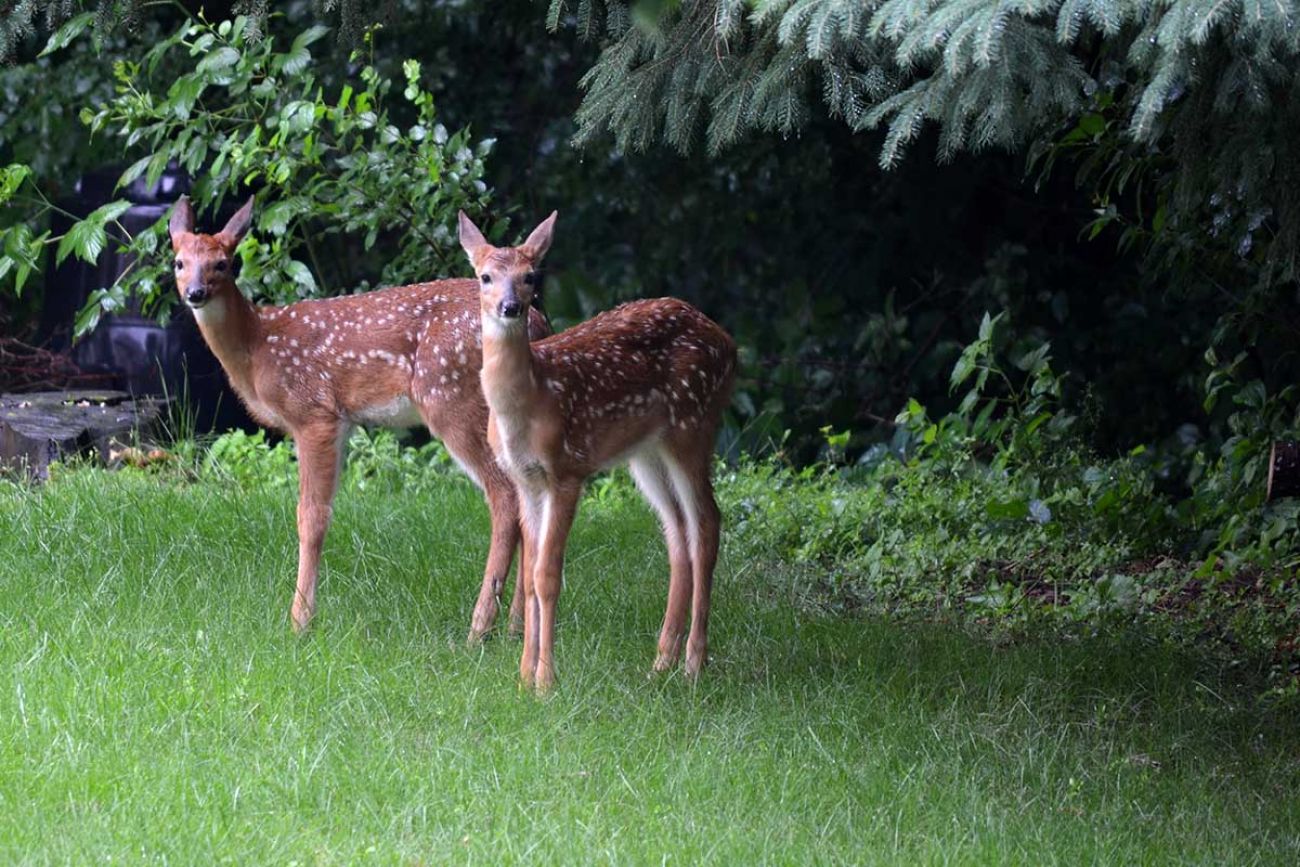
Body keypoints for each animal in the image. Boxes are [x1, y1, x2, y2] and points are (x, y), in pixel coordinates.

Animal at [167, 198, 548, 644]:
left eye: (222, 263)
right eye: (178, 262)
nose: (195, 293)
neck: (257, 348)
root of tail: (537, 323)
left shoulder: (313, 412)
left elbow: (311, 517)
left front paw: (300, 622)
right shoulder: (343, 422)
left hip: (451, 398)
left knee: (503, 496)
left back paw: (479, 630)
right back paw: (515, 629)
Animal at [462, 210, 738, 691]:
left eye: (530, 276)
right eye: (485, 277)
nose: (511, 307)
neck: (532, 401)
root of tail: (728, 342)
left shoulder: (568, 470)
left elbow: (547, 575)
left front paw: (546, 682)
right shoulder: (527, 480)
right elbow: (530, 576)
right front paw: (523, 676)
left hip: (694, 424)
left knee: (707, 521)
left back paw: (692, 664)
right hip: (646, 452)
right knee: (677, 530)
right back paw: (660, 662)